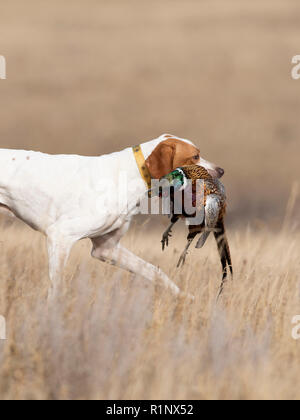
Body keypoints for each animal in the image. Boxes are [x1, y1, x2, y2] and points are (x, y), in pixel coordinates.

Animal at [0, 135, 223, 298]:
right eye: (195, 156)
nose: (221, 170)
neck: (131, 176)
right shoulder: (60, 236)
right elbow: (57, 289)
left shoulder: (106, 249)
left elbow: (155, 272)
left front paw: (185, 298)